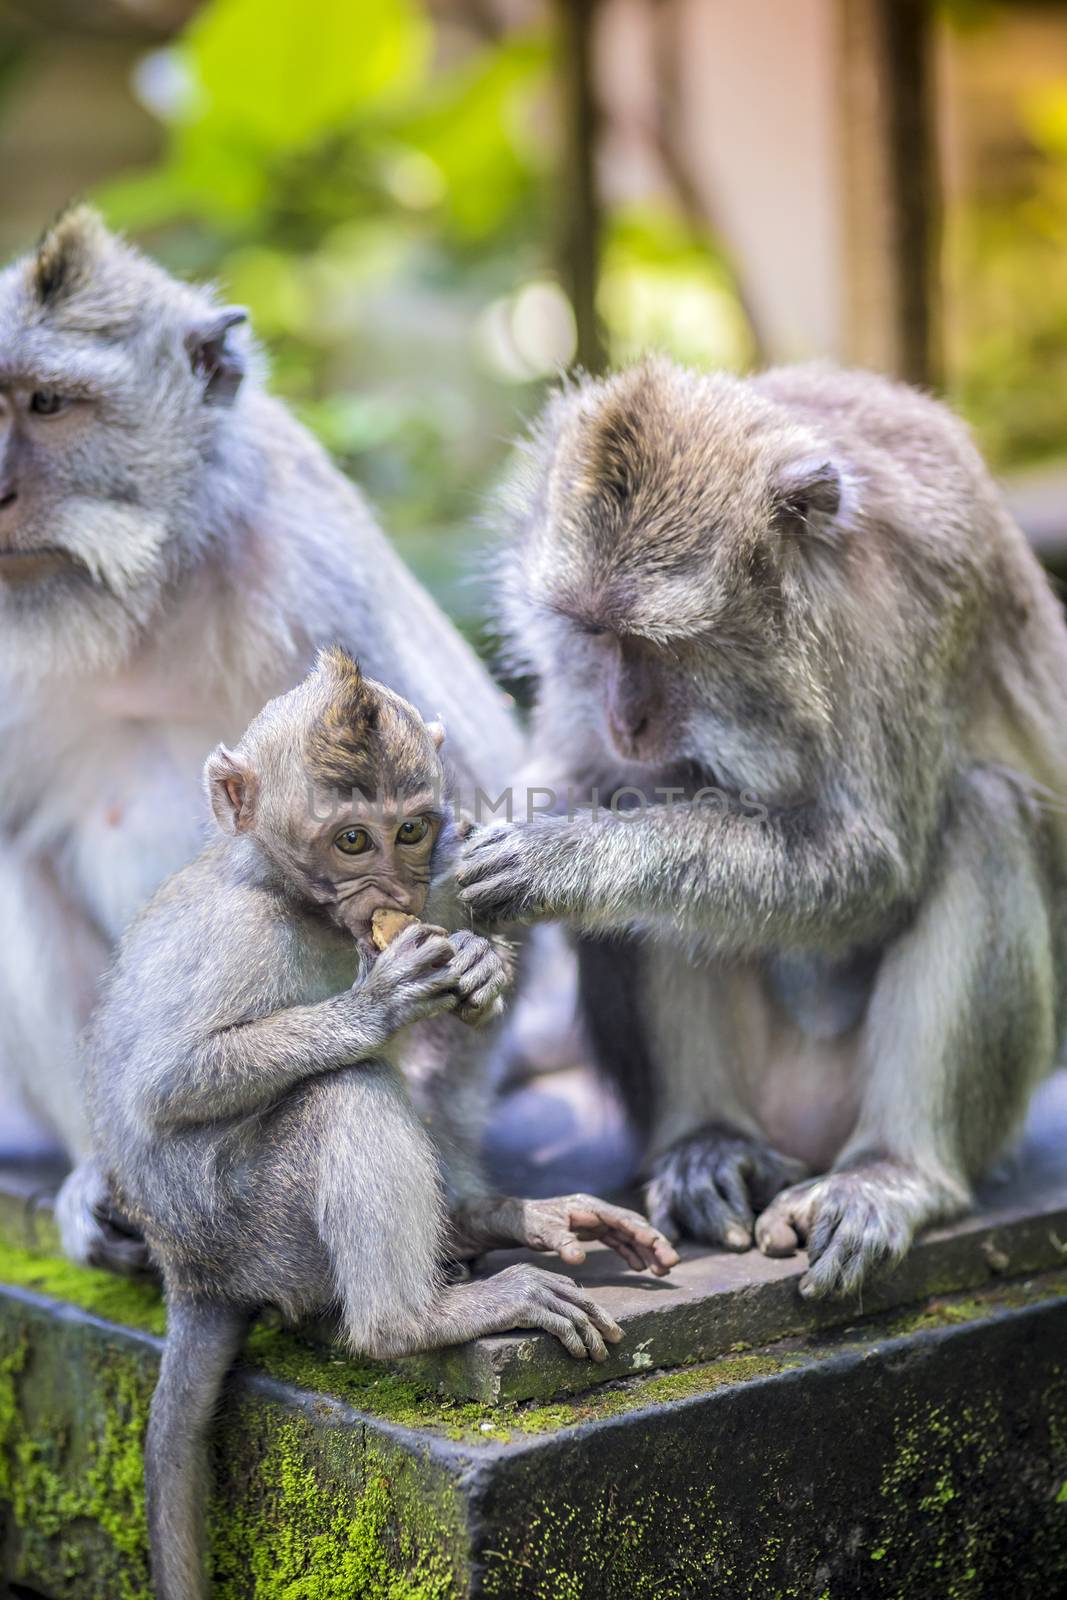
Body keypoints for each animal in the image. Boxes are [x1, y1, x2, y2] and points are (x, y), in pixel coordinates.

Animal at [93, 643, 675, 1593]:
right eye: (350, 839)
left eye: (410, 831)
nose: (391, 886)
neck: (301, 904)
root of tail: (192, 1274)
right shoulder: (241, 933)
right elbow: (169, 1082)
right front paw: (381, 1001)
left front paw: (478, 963)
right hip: (256, 1233)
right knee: (345, 1093)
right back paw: (415, 1318)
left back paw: (486, 1221)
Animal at [457, 360, 1067, 1299]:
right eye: (592, 635)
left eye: (658, 643)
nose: (624, 719)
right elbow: (575, 770)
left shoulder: (916, 605)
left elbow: (869, 869)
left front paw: (564, 857)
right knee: (653, 797)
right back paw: (708, 1143)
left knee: (983, 816)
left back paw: (894, 1170)